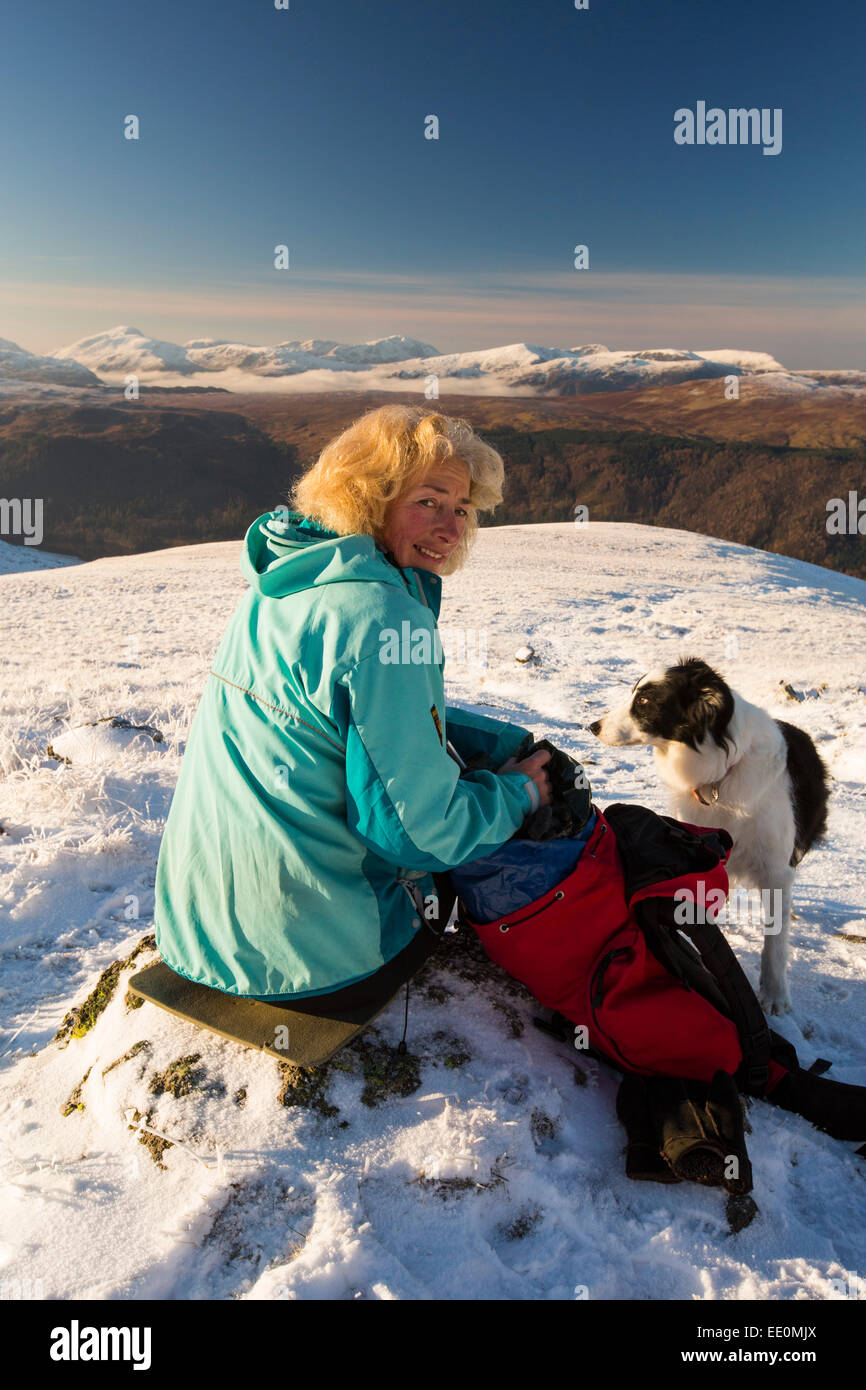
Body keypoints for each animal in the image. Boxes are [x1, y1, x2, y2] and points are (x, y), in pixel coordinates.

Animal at [592, 656, 828, 1017]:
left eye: (644, 701)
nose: (594, 726)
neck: (719, 773)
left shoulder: (775, 868)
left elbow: (774, 940)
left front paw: (774, 994)